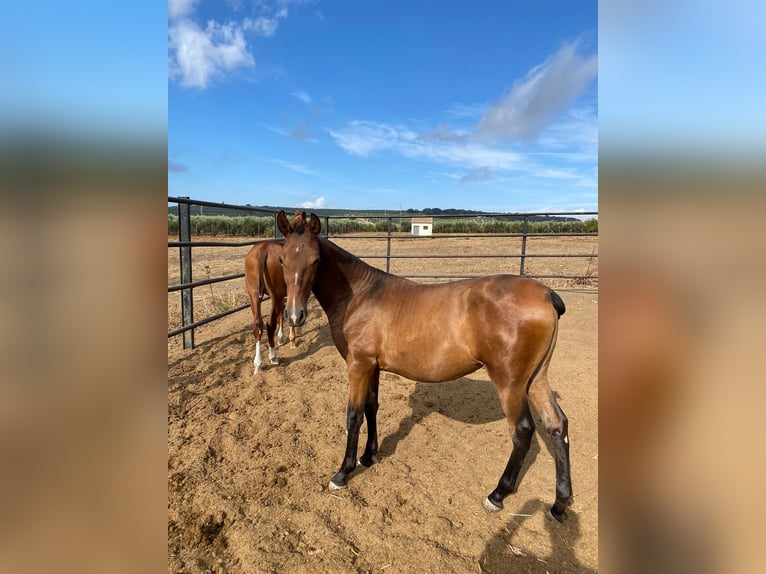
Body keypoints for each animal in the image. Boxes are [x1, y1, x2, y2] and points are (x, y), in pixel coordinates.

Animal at [244, 212, 308, 378]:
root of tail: (263, 250)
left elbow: (282, 315)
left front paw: (281, 338)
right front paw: (291, 341)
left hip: (254, 295)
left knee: (258, 324)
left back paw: (258, 364)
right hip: (275, 296)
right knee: (269, 324)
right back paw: (273, 357)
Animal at [280, 210, 572, 520]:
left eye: (316, 260)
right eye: (282, 260)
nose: (295, 316)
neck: (359, 295)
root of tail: (546, 294)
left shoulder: (358, 366)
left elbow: (354, 416)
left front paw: (342, 472)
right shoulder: (372, 367)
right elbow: (372, 408)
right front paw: (368, 456)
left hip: (510, 384)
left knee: (523, 431)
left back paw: (497, 494)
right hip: (536, 379)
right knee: (557, 425)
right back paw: (559, 504)